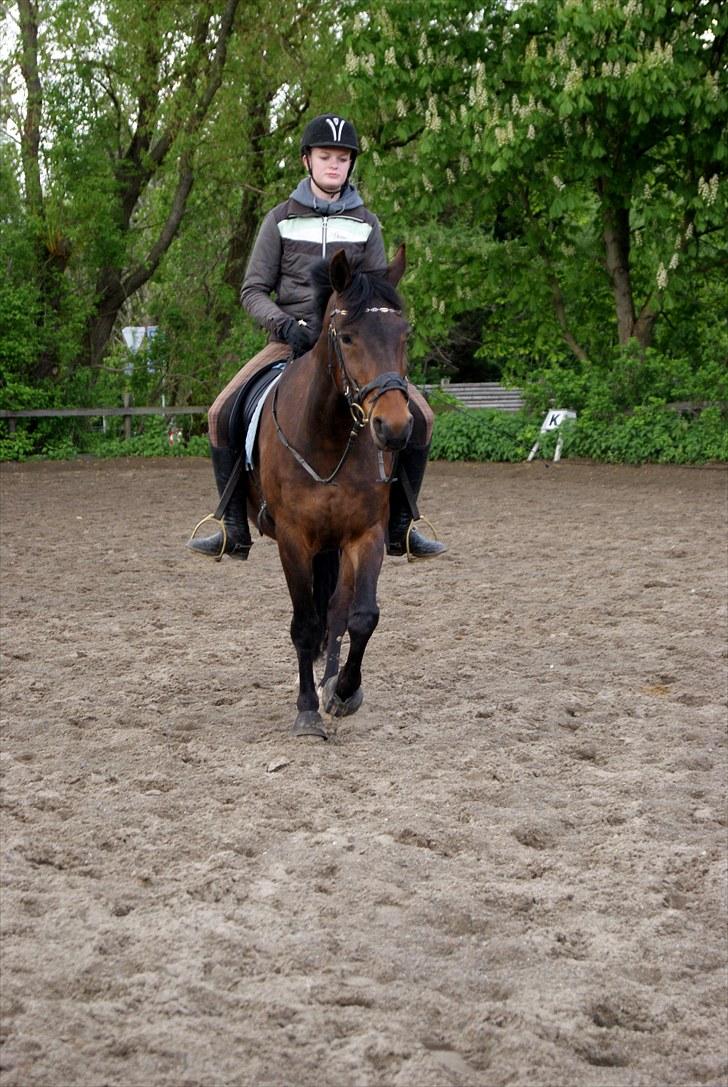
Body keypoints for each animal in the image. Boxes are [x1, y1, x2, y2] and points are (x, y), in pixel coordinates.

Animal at [247, 246, 412, 739]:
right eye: (349, 337)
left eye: (404, 335)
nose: (394, 428)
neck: (328, 437)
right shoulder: (293, 540)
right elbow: (304, 624)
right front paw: (306, 711)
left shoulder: (365, 534)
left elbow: (360, 616)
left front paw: (343, 691)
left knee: (337, 611)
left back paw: (332, 681)